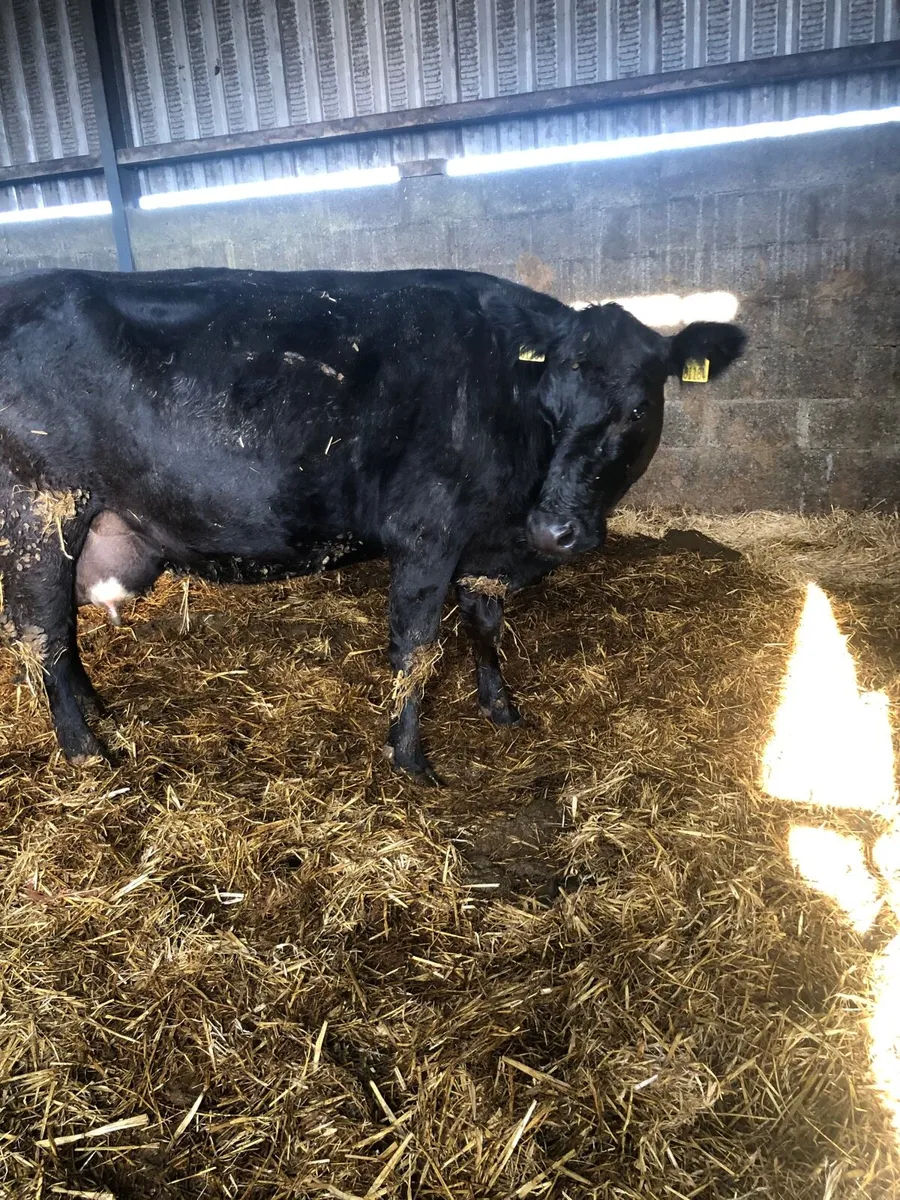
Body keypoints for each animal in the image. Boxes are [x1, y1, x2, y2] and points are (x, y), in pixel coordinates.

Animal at [0, 267, 744, 781]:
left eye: (638, 409)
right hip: (39, 514)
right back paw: (88, 755)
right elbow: (416, 649)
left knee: (58, 639)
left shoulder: (485, 546)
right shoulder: (427, 534)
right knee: (44, 636)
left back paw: (100, 714)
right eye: (551, 405)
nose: (555, 530)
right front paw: (411, 762)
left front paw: (500, 708)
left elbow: (483, 624)